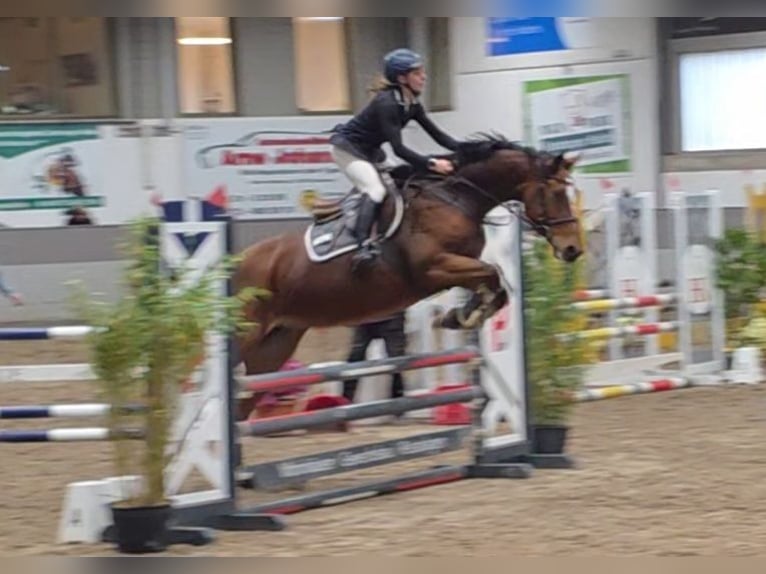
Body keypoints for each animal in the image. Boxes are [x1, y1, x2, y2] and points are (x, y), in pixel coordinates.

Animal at [231, 135, 584, 411]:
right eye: (554, 192)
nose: (572, 250)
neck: (455, 198)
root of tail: (232, 265)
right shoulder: (432, 270)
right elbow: (492, 273)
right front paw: (461, 316)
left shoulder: (459, 266)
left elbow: (495, 286)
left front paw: (461, 316)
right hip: (246, 336)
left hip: (274, 346)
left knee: (244, 401)